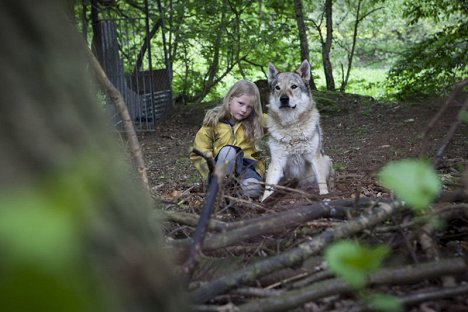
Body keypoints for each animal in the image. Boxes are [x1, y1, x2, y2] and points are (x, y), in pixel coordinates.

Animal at [260, 60, 332, 202]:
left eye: (293, 86)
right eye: (277, 88)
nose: (284, 99)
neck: (291, 125)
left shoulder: (315, 158)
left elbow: (322, 182)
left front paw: (324, 195)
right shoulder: (276, 162)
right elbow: (269, 187)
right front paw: (264, 201)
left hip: (325, 159)